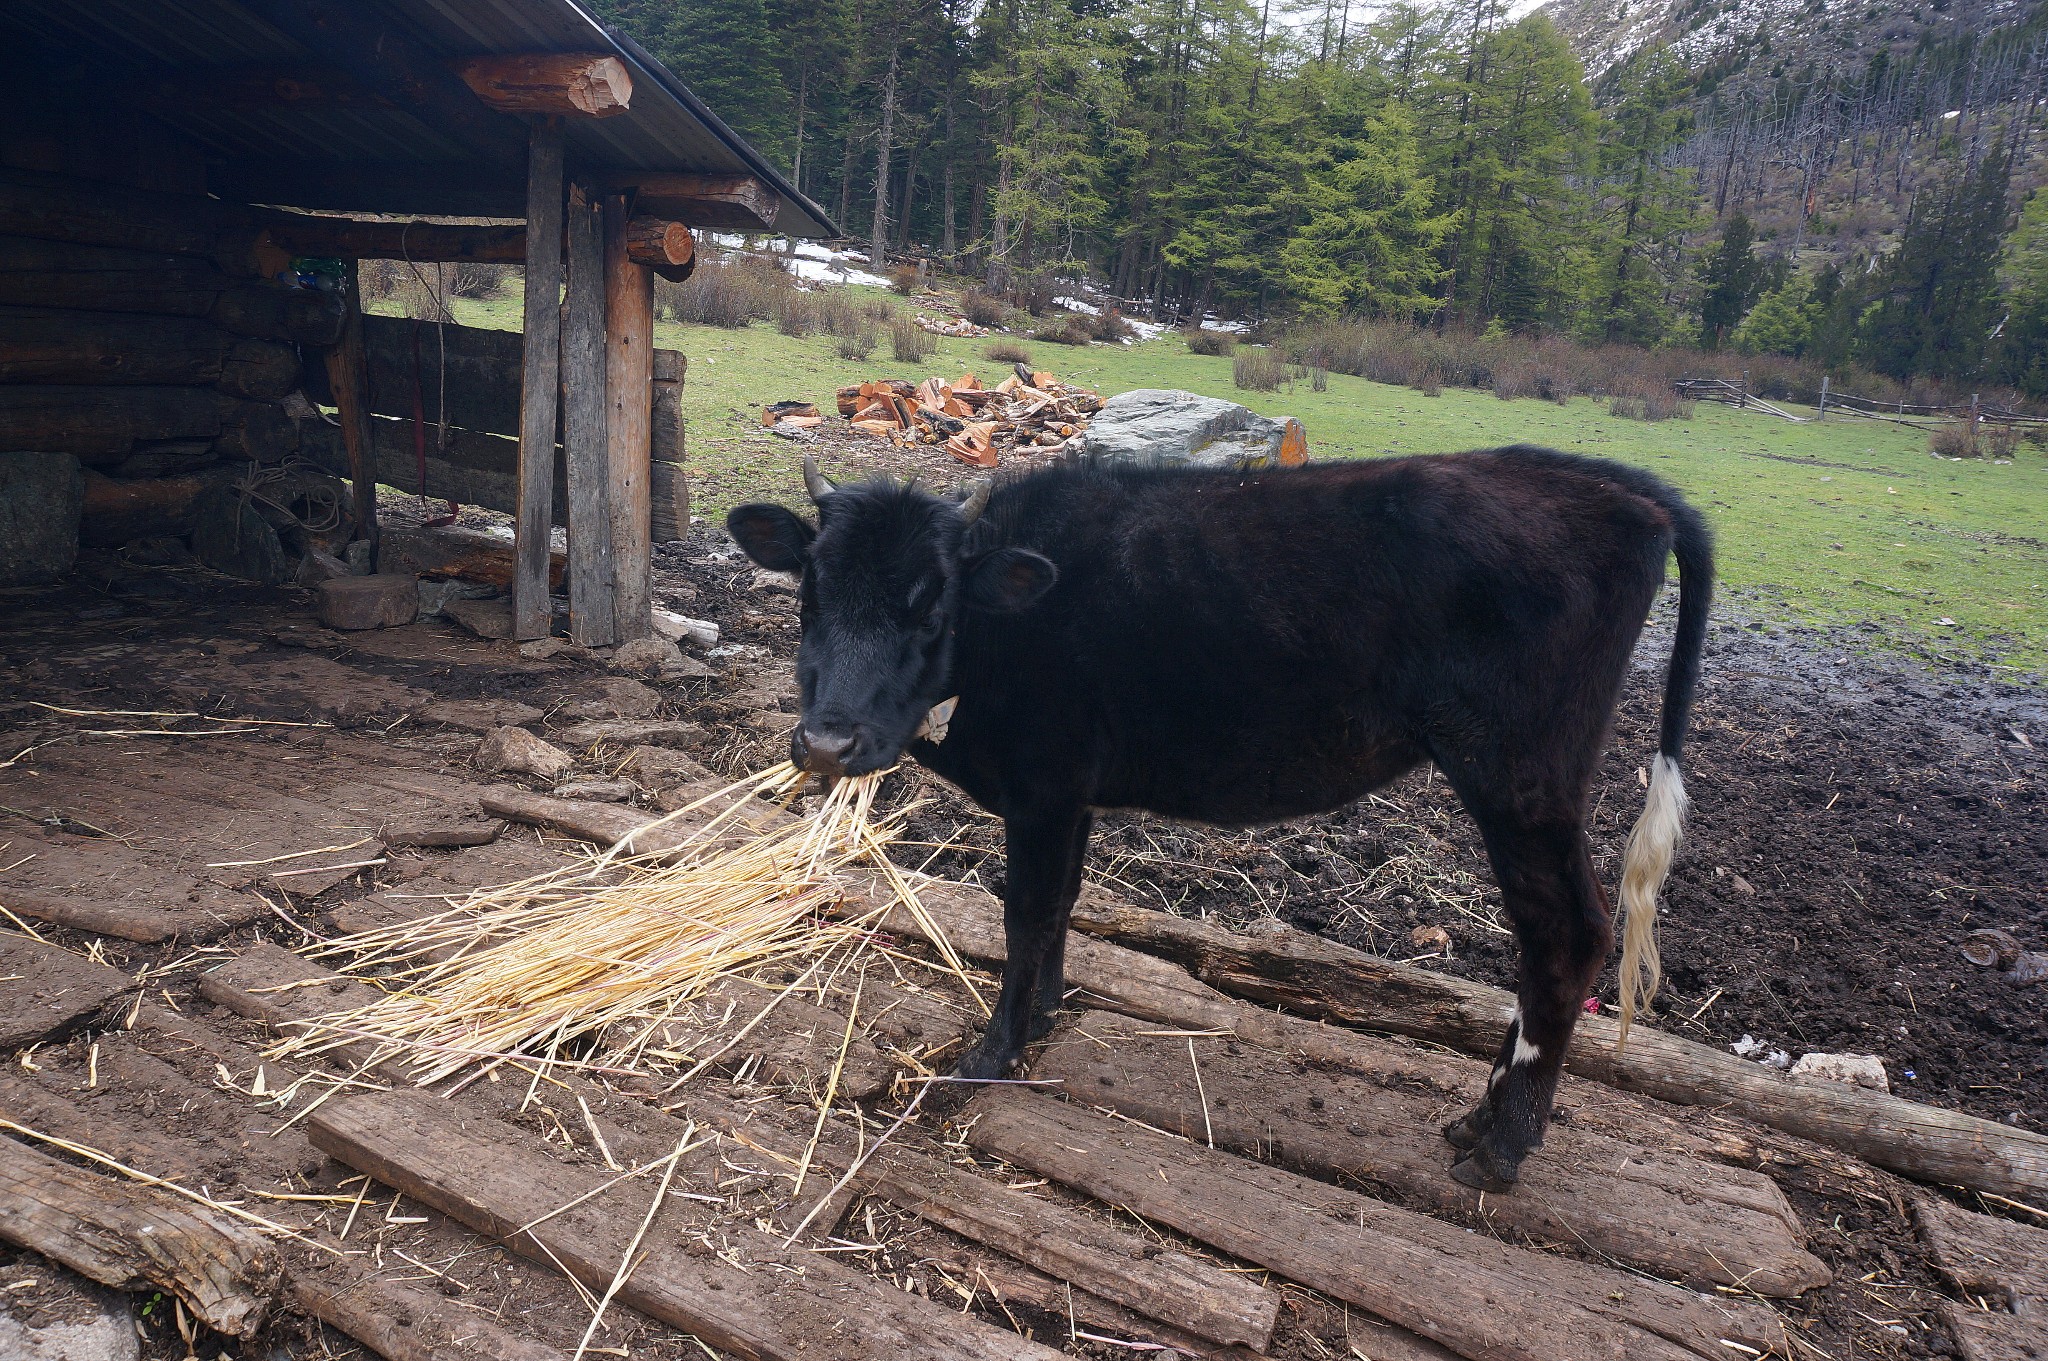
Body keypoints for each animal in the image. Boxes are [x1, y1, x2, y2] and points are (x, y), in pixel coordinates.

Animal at [729, 446, 1720, 1187]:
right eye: (808, 590)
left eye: (931, 603)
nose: (826, 740)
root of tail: (1609, 483)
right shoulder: (1072, 792)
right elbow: (1061, 906)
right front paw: (1045, 1012)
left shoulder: (1042, 781)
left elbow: (1026, 910)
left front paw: (994, 1051)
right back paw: (1484, 1119)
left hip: (1520, 770)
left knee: (1565, 931)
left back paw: (1501, 1142)